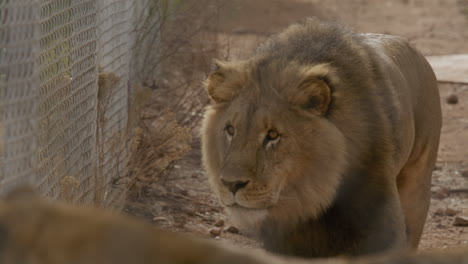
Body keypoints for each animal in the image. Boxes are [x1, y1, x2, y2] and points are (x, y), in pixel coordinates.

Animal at [202, 18, 442, 258]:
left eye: (273, 135)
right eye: (231, 130)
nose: (231, 184)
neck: (314, 200)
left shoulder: (382, 232)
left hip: (417, 182)